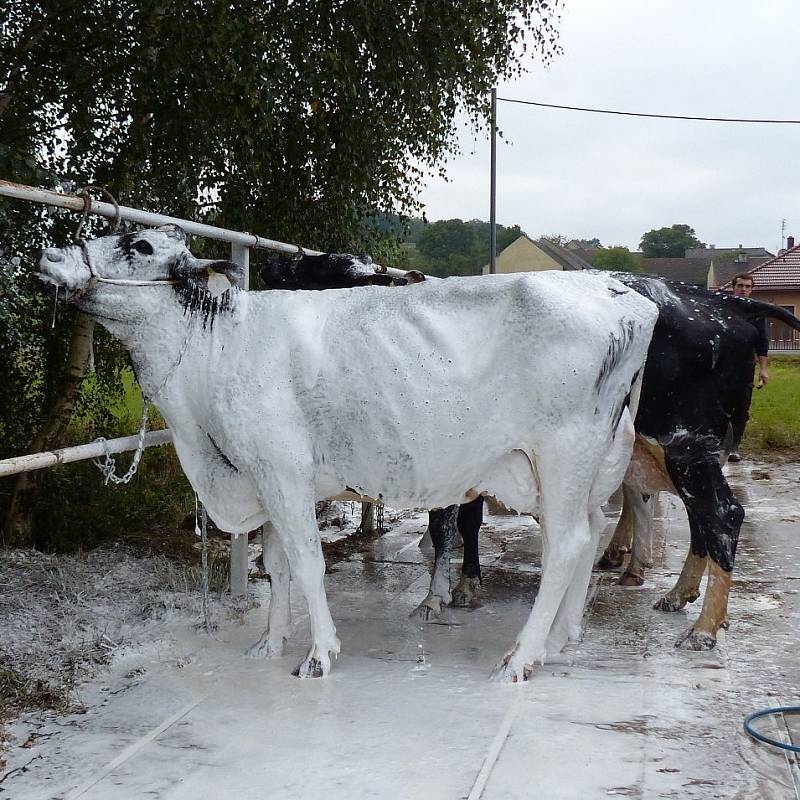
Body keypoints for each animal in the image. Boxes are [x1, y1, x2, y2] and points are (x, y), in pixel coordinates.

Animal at [36, 227, 656, 680]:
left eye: (139, 245)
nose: (49, 253)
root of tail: (625, 298)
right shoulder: (266, 478)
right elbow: (277, 565)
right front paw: (269, 643)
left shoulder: (282, 470)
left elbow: (308, 562)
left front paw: (318, 654)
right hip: (578, 467)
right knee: (584, 537)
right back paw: (559, 640)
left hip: (562, 455)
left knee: (568, 545)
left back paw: (522, 657)